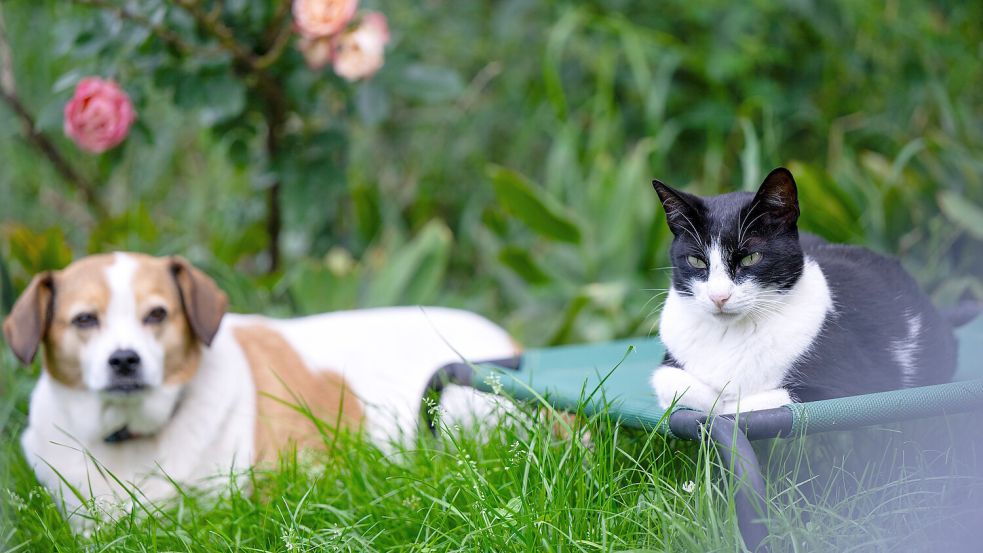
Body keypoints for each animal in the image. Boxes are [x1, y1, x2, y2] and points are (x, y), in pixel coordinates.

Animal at [648, 166, 956, 412]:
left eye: (751, 258)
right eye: (696, 261)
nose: (719, 296)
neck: (730, 337)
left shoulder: (856, 385)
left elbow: (745, 407)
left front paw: (728, 404)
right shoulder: (670, 366)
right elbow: (673, 384)